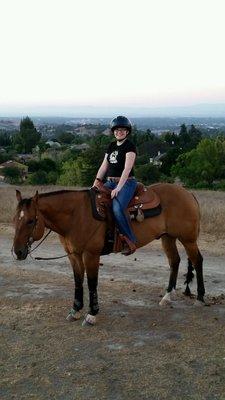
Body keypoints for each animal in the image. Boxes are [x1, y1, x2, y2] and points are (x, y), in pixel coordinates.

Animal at [12, 184, 206, 324]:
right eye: (15, 220)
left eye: (30, 221)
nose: (17, 252)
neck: (76, 216)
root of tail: (188, 193)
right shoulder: (73, 255)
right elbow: (78, 281)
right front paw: (75, 310)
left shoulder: (91, 255)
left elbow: (92, 283)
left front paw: (92, 314)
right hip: (168, 238)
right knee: (175, 261)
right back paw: (167, 297)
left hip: (187, 239)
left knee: (197, 260)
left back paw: (200, 297)